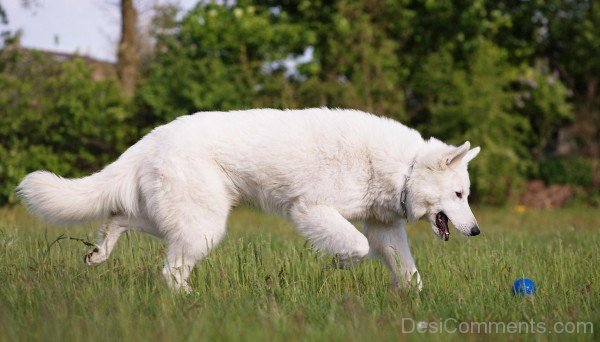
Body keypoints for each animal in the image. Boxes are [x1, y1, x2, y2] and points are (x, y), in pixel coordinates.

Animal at [16, 109, 480, 292]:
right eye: (458, 194)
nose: (476, 231)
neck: (402, 168)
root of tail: (151, 138)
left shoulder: (386, 230)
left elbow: (408, 271)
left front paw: (416, 301)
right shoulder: (311, 210)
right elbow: (356, 247)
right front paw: (339, 263)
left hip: (182, 219)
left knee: (119, 217)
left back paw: (99, 252)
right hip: (203, 226)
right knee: (170, 271)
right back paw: (190, 303)